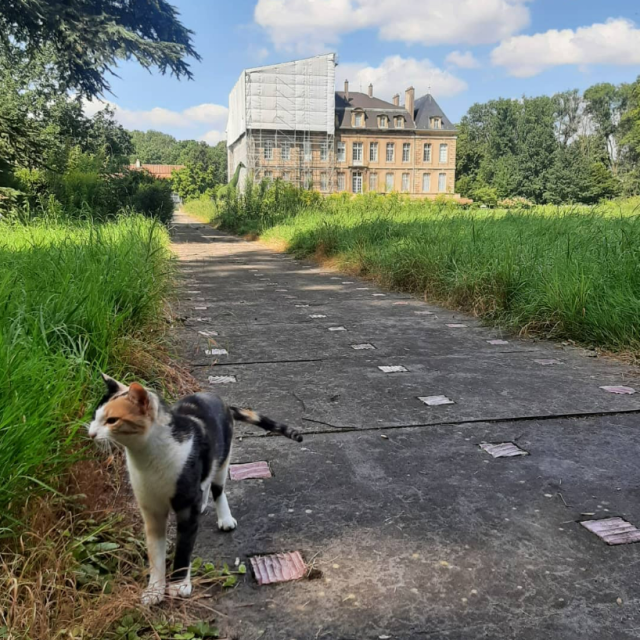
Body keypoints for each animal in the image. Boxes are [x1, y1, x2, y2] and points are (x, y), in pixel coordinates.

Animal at [88, 372, 304, 604]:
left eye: (112, 420)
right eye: (94, 417)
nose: (90, 433)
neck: (147, 460)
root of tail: (215, 397)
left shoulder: (186, 509)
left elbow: (184, 548)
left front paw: (178, 585)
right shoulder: (151, 510)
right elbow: (155, 554)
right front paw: (154, 590)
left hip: (222, 459)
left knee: (218, 488)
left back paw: (224, 518)